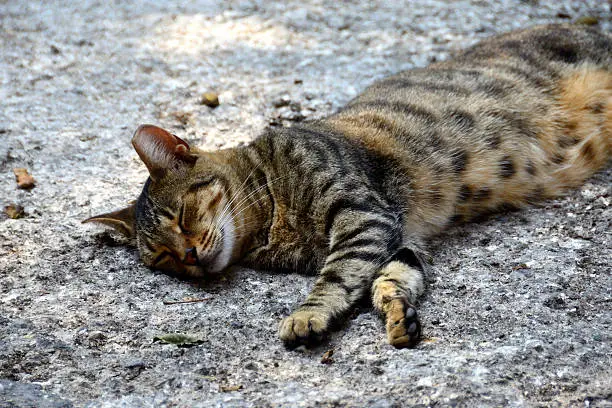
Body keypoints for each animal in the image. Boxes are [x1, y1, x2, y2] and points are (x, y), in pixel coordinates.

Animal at [85, 23, 612, 350]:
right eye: (162, 259)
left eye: (182, 217)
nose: (191, 257)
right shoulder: (400, 232)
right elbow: (393, 276)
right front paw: (398, 313)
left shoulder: (362, 213)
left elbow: (336, 276)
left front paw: (307, 315)